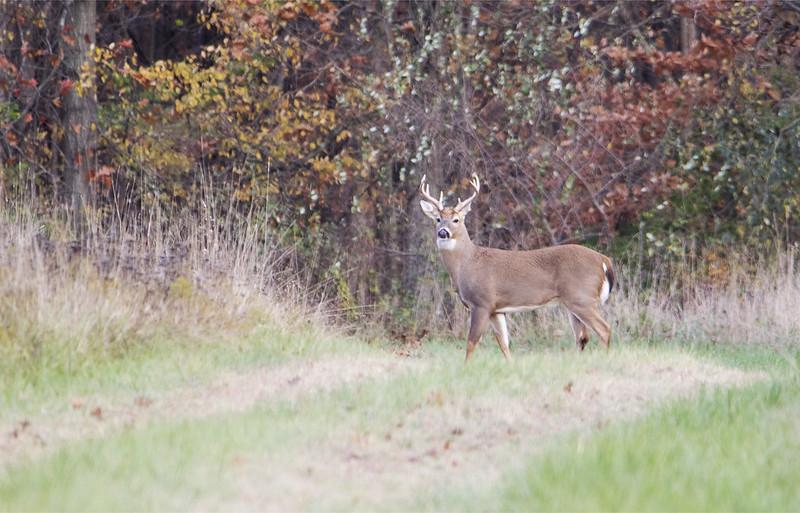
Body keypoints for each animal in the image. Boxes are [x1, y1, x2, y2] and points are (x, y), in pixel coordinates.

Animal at [422, 174, 616, 362]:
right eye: (438, 219)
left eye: (456, 220)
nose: (443, 232)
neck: (466, 263)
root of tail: (604, 260)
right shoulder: (497, 309)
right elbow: (504, 343)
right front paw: (511, 366)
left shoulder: (482, 302)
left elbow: (471, 343)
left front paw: (466, 368)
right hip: (572, 302)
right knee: (582, 337)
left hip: (582, 297)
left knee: (604, 329)